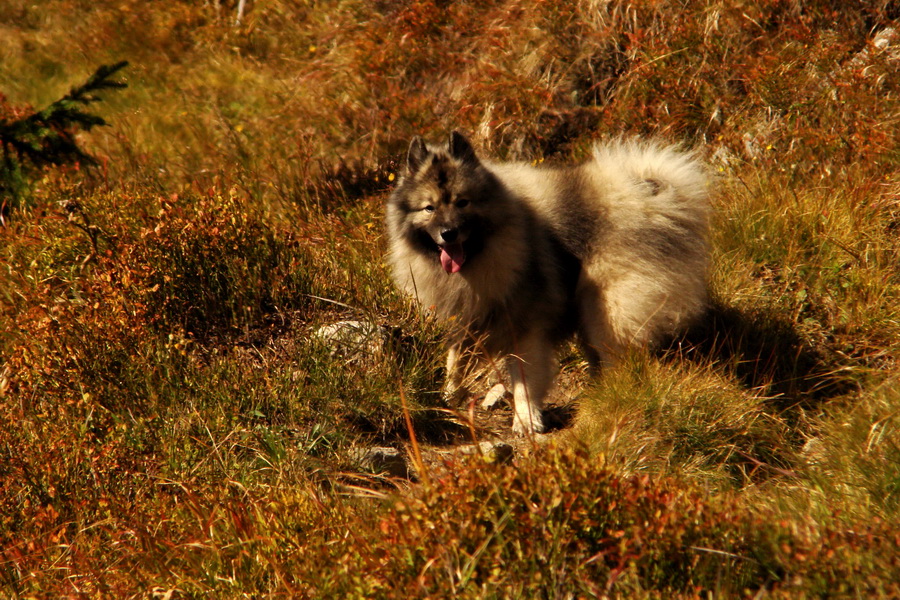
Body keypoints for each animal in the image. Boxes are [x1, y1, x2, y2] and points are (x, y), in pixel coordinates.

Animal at [386, 131, 712, 434]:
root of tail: (648, 195)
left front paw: (526, 420)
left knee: (617, 360)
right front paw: (449, 398)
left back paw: (609, 400)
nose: (448, 233)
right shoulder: (464, 320)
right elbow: (455, 363)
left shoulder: (526, 330)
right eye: (429, 208)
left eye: (462, 202)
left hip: (605, 312)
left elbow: (524, 382)